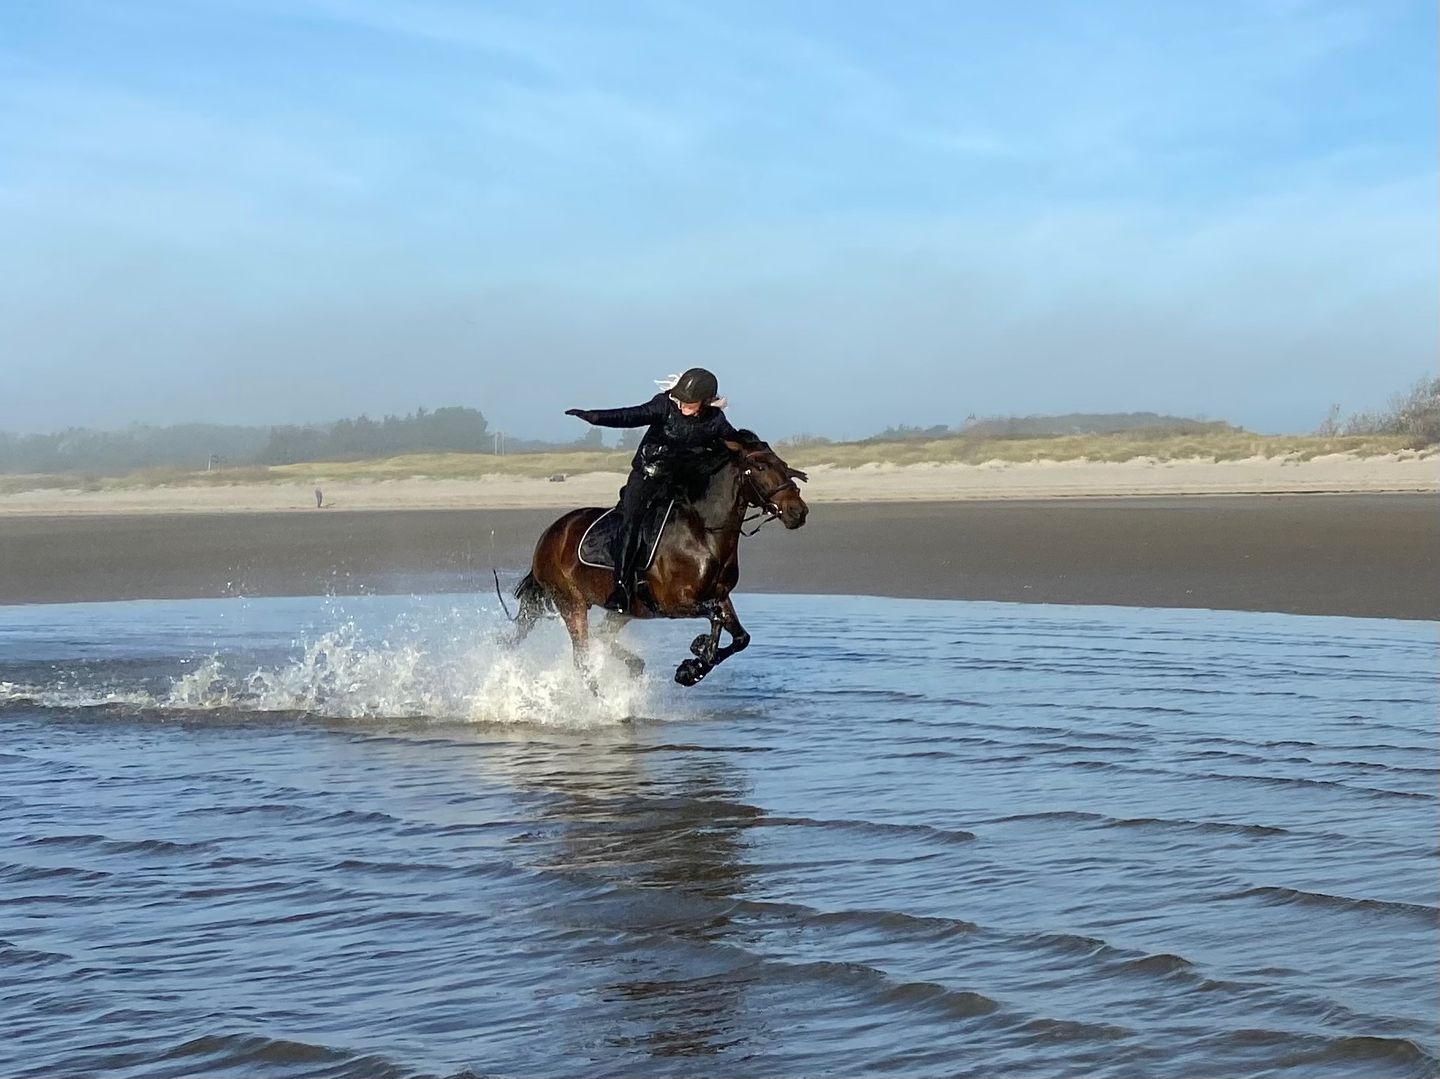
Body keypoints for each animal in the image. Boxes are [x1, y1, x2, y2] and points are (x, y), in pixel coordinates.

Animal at [508, 432, 809, 688]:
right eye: (760, 468)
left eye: (783, 465)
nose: (799, 512)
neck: (702, 532)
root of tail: (549, 535)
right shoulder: (675, 602)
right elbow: (715, 618)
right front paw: (696, 658)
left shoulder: (721, 595)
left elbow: (740, 636)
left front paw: (692, 665)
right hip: (571, 603)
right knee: (582, 658)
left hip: (623, 611)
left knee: (600, 639)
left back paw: (634, 666)